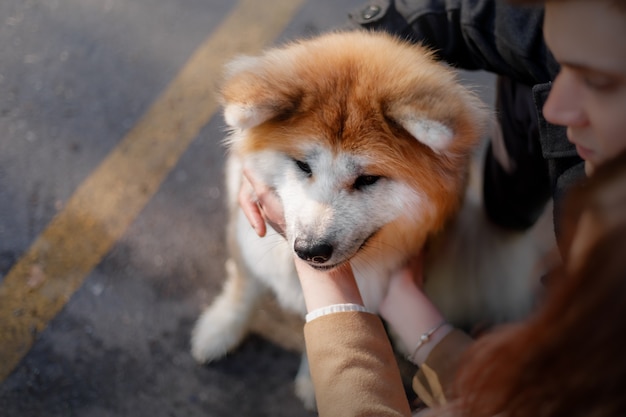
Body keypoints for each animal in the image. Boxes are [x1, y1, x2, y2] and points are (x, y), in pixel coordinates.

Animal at [188, 31, 544, 410]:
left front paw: (317, 381)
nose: (310, 250)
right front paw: (220, 327)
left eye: (368, 179)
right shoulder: (248, 236)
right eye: (303, 166)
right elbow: (243, 288)